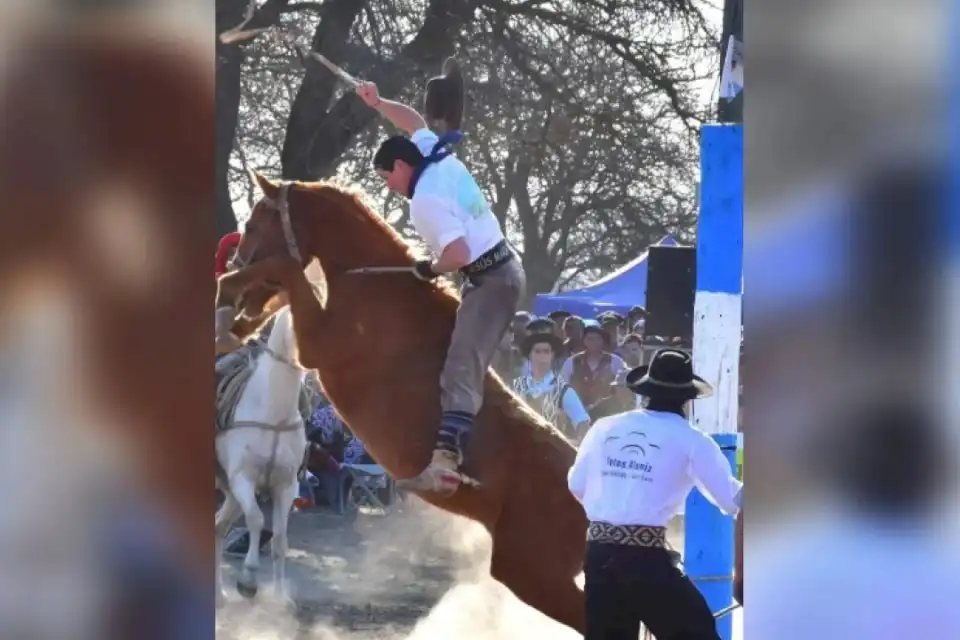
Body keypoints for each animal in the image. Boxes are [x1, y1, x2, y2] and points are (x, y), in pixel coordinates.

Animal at [217, 308, 308, 604]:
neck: (273, 414)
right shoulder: (243, 480)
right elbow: (257, 520)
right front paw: (248, 580)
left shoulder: (286, 486)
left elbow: (279, 539)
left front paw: (280, 598)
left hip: (231, 496)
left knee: (217, 528)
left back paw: (219, 594)